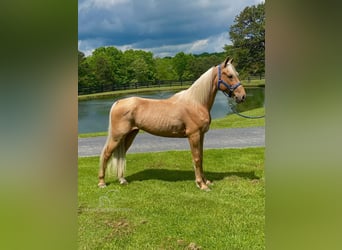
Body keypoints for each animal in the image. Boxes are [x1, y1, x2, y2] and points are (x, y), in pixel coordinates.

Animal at [99, 57, 246, 189]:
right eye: (230, 75)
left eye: (237, 74)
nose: (242, 96)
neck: (196, 102)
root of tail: (118, 102)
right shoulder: (193, 135)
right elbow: (197, 158)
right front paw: (201, 184)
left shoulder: (201, 135)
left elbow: (201, 157)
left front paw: (206, 181)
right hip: (117, 136)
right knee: (106, 154)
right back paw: (102, 183)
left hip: (130, 135)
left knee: (121, 155)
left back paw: (122, 180)